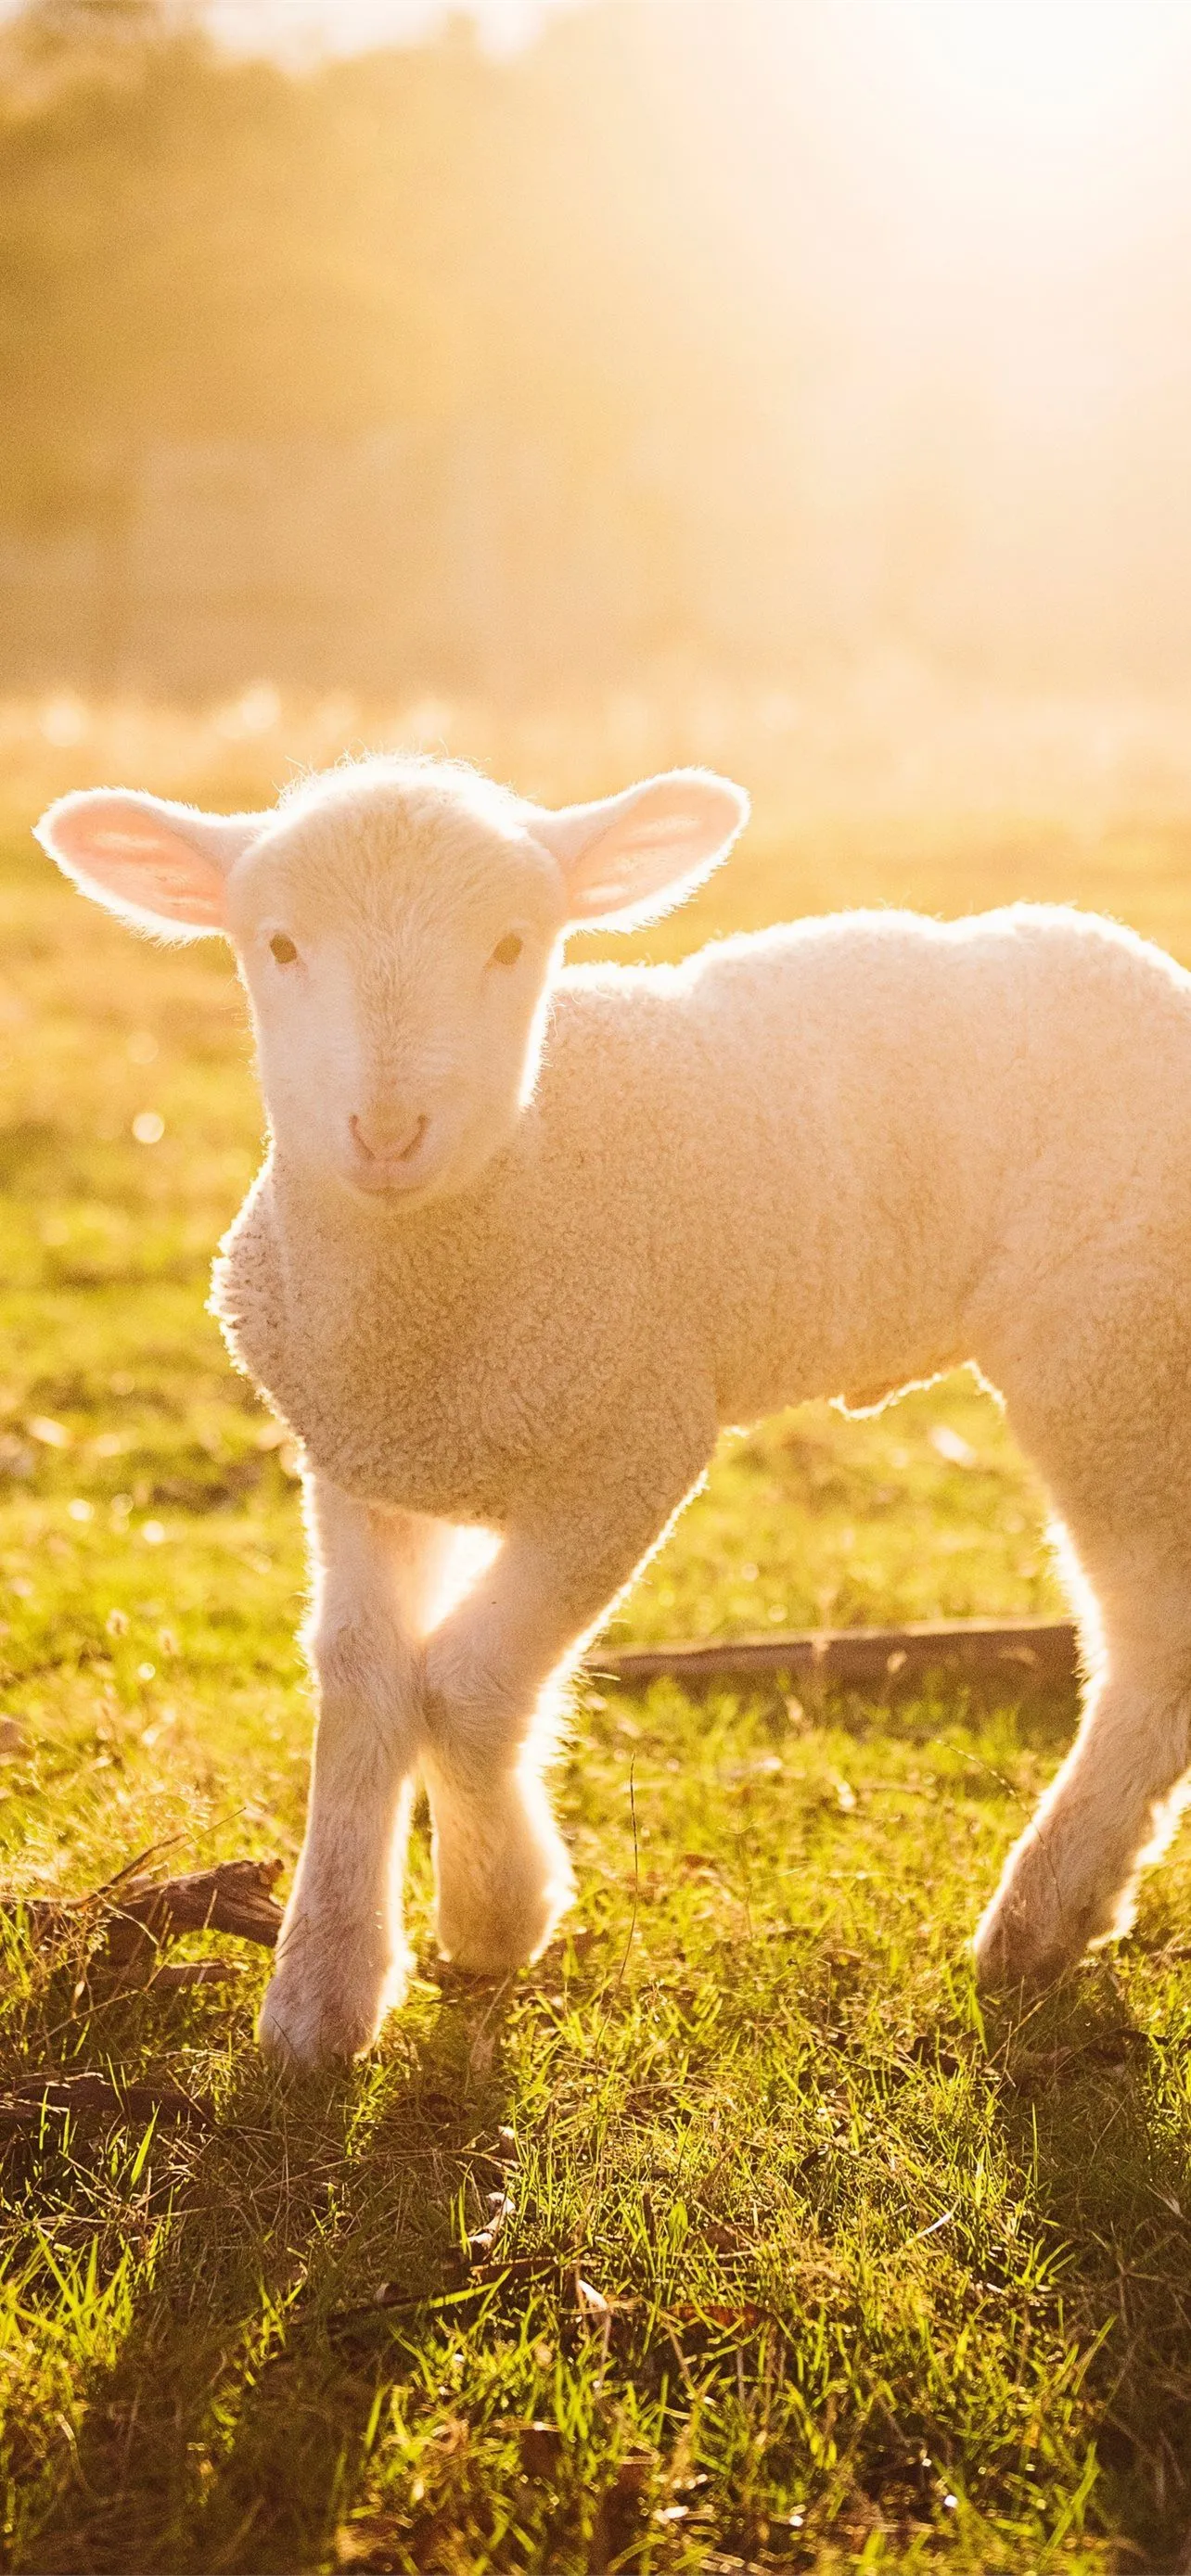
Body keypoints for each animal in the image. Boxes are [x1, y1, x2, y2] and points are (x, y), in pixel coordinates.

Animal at [34, 753, 1191, 2067]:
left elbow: (466, 1681)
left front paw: (496, 1914)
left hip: (1110, 1352)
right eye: (276, 944)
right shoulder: (358, 1454)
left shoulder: (632, 1445)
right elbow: (362, 1674)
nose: (386, 1132)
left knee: (1152, 1645)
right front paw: (323, 1994)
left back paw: (1043, 1915)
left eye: (511, 943)